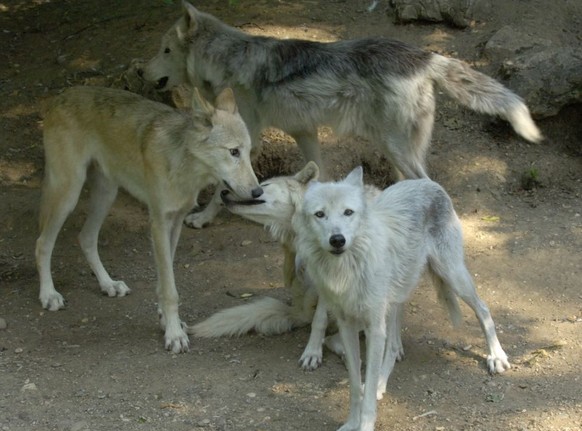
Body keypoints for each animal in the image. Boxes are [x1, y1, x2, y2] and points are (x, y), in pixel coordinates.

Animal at [36, 85, 262, 354]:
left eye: (248, 152)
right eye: (233, 152)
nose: (258, 192)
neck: (183, 165)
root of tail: (60, 96)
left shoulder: (176, 223)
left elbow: (165, 279)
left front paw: (166, 320)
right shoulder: (158, 223)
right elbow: (170, 288)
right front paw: (174, 334)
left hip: (106, 194)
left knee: (86, 238)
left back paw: (108, 284)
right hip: (68, 194)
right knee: (43, 243)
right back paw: (49, 295)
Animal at [144, 0, 544, 230]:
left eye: (165, 50)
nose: (142, 72)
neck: (228, 61)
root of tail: (424, 55)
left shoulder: (247, 140)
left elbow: (222, 186)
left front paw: (202, 217)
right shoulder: (305, 132)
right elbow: (318, 175)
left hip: (395, 146)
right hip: (396, 148)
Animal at [296, 168, 512, 431]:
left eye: (348, 212)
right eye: (320, 214)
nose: (337, 239)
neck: (348, 269)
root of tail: (427, 183)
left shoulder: (374, 327)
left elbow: (367, 393)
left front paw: (365, 424)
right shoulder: (347, 325)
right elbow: (355, 386)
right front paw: (352, 422)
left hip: (453, 276)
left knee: (483, 309)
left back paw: (496, 357)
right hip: (399, 295)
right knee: (394, 345)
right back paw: (381, 383)